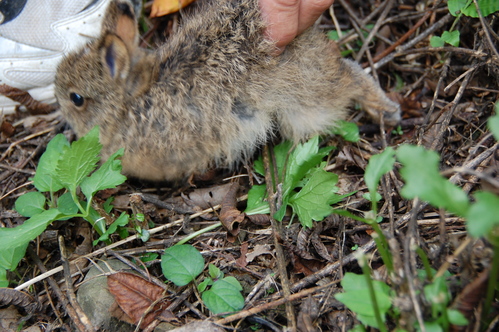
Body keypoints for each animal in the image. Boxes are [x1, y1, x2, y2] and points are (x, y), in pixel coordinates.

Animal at [54, 0, 400, 182]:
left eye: (76, 99)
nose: (58, 103)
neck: (129, 103)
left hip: (304, 103)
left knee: (349, 81)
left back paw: (386, 109)